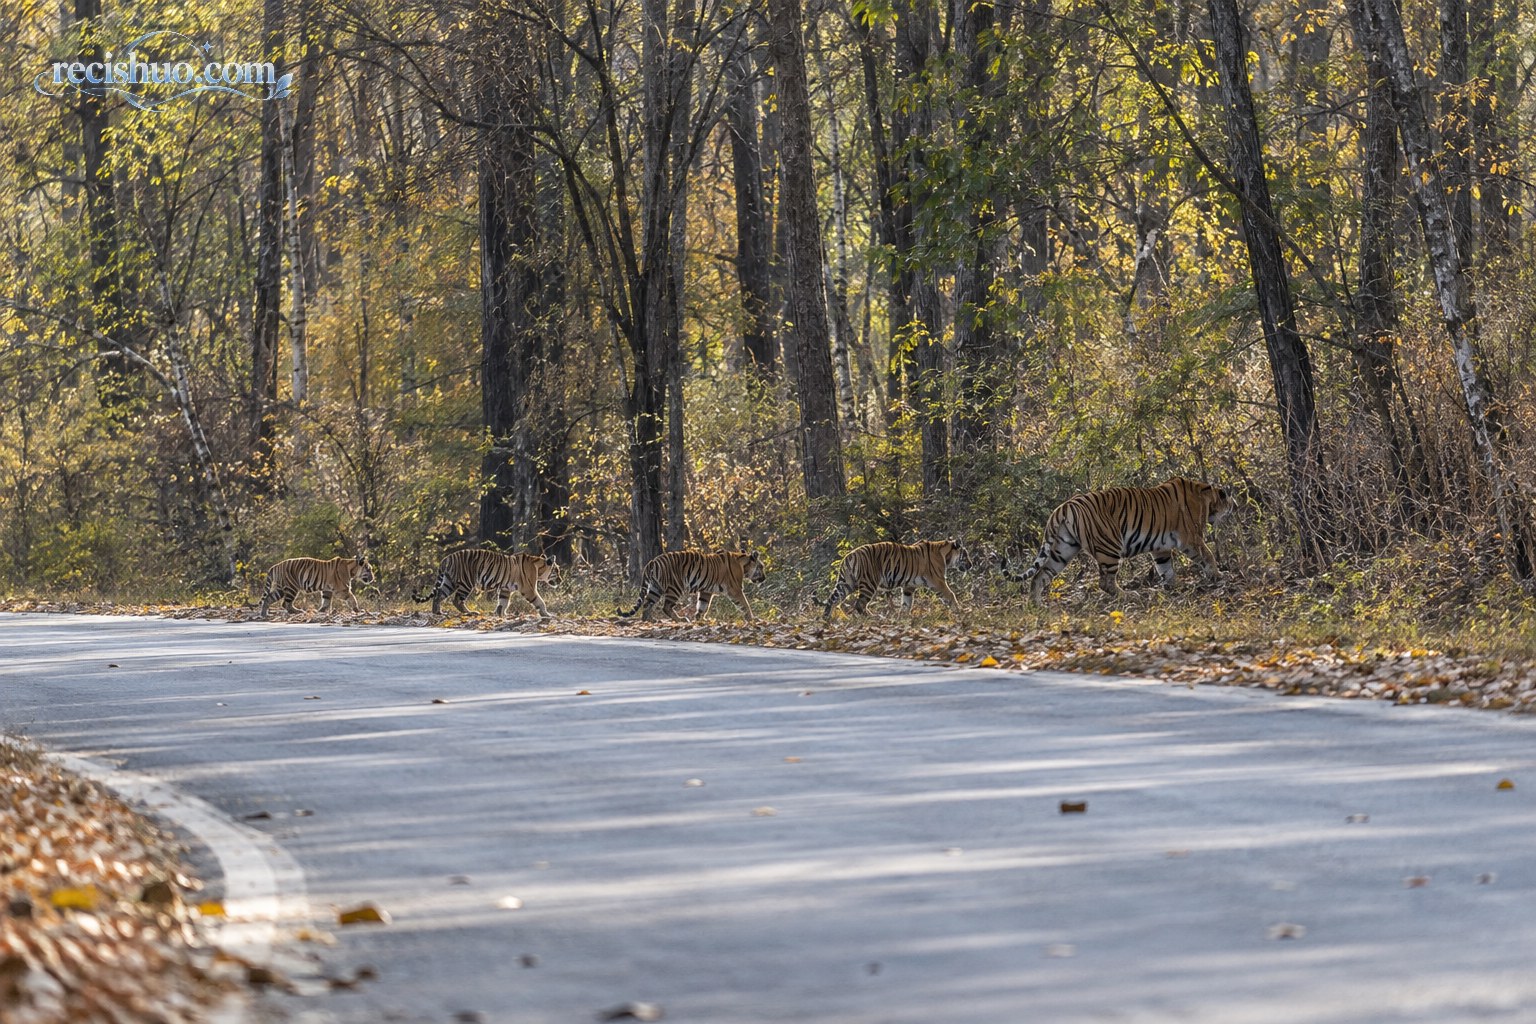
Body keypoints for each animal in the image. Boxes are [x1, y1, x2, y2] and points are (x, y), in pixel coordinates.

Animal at [415, 549, 555, 618]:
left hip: (449, 582)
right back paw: (470, 613)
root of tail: (446, 558)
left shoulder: (505, 589)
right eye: (557, 571)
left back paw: (437, 612)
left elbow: (503, 602)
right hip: (466, 582)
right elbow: (539, 601)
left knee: (438, 595)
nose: (559, 580)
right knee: (457, 600)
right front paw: (547, 614)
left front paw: (501, 614)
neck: (538, 565)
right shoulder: (528, 588)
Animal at [617, 547, 766, 622]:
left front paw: (700, 619)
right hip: (676, 587)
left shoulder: (706, 591)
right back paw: (680, 619)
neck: (742, 563)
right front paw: (752, 619)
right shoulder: (735, 590)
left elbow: (703, 605)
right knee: (666, 606)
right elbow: (745, 604)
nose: (764, 578)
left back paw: (649, 620)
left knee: (647, 603)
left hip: (655, 588)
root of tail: (653, 561)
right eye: (761, 567)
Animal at [822, 539, 968, 620]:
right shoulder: (938, 582)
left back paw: (827, 620)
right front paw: (960, 612)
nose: (971, 564)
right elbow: (950, 595)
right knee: (859, 604)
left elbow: (907, 603)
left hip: (847, 583)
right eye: (966, 555)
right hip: (869, 583)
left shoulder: (909, 586)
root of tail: (848, 556)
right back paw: (874, 618)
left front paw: (902, 618)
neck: (944, 553)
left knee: (833, 600)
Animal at [1011, 476, 1233, 601]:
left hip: (1063, 550)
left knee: (1039, 576)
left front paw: (1173, 587)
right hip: (1109, 546)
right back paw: (1129, 595)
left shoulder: (1161, 547)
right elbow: (1208, 555)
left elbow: (1165, 568)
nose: (1233, 508)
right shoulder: (1191, 538)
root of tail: (1064, 507)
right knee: (1105, 582)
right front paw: (1219, 575)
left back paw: (1035, 605)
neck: (1205, 493)